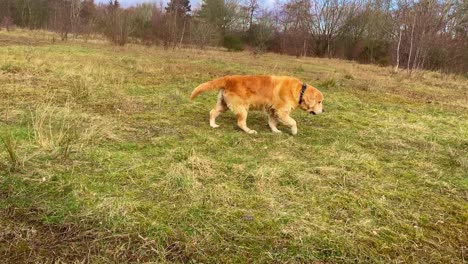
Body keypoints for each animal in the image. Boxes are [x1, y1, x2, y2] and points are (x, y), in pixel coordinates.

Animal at [188, 75, 324, 135]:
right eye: (319, 101)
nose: (323, 111)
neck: (300, 90)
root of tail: (228, 78)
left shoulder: (273, 111)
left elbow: (272, 122)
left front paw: (275, 131)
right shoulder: (282, 111)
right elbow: (293, 122)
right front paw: (294, 131)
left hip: (223, 105)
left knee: (212, 112)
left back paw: (213, 125)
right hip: (242, 109)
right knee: (241, 123)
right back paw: (250, 131)